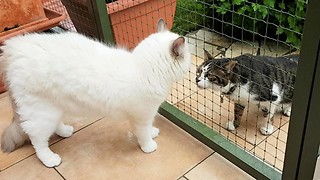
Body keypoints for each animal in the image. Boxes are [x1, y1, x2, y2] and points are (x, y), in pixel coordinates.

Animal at [0, 19, 191, 167]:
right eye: (188, 57)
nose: (191, 66)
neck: (142, 69)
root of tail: (13, 48)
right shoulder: (142, 117)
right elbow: (143, 134)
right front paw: (149, 146)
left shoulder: (145, 116)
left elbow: (149, 129)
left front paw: (152, 134)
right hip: (42, 113)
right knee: (37, 139)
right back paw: (50, 159)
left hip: (54, 108)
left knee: (54, 126)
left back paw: (65, 131)